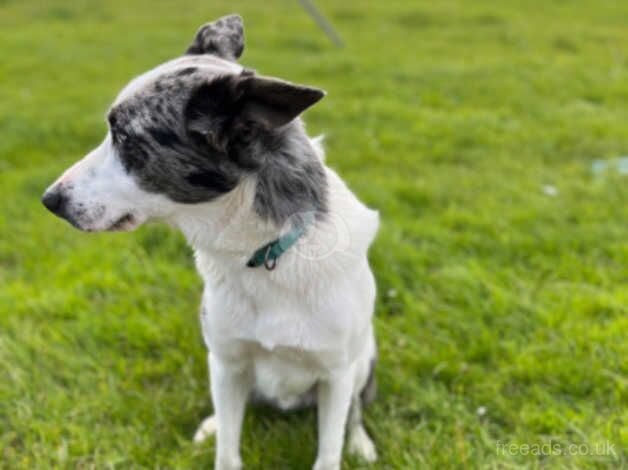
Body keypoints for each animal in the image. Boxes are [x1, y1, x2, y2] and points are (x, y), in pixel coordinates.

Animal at [44, 14, 380, 470]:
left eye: (126, 139)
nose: (49, 200)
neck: (261, 251)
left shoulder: (337, 374)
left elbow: (329, 449)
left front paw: (350, 445)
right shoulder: (226, 361)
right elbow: (228, 450)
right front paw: (218, 434)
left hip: (364, 360)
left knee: (357, 410)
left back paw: (361, 443)